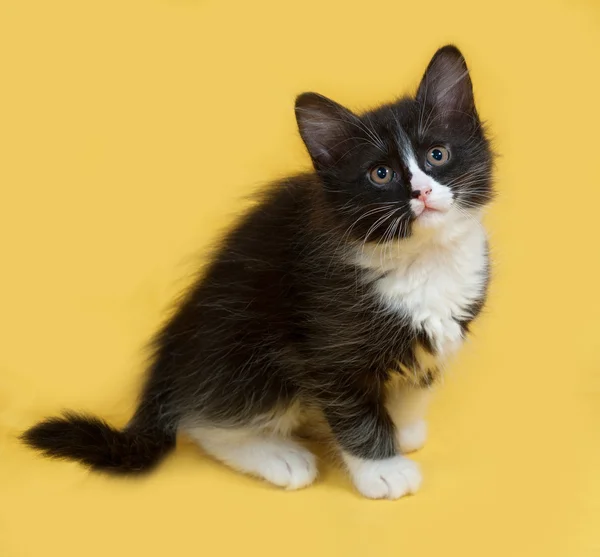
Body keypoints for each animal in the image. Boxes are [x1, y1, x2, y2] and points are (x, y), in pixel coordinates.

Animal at [22, 44, 492, 500]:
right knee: (200, 422)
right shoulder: (328, 342)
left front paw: (403, 428)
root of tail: (167, 365)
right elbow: (355, 410)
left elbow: (417, 386)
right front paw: (382, 469)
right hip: (248, 347)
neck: (424, 258)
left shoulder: (440, 334)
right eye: (381, 174)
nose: (423, 192)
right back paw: (280, 456)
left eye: (437, 155)